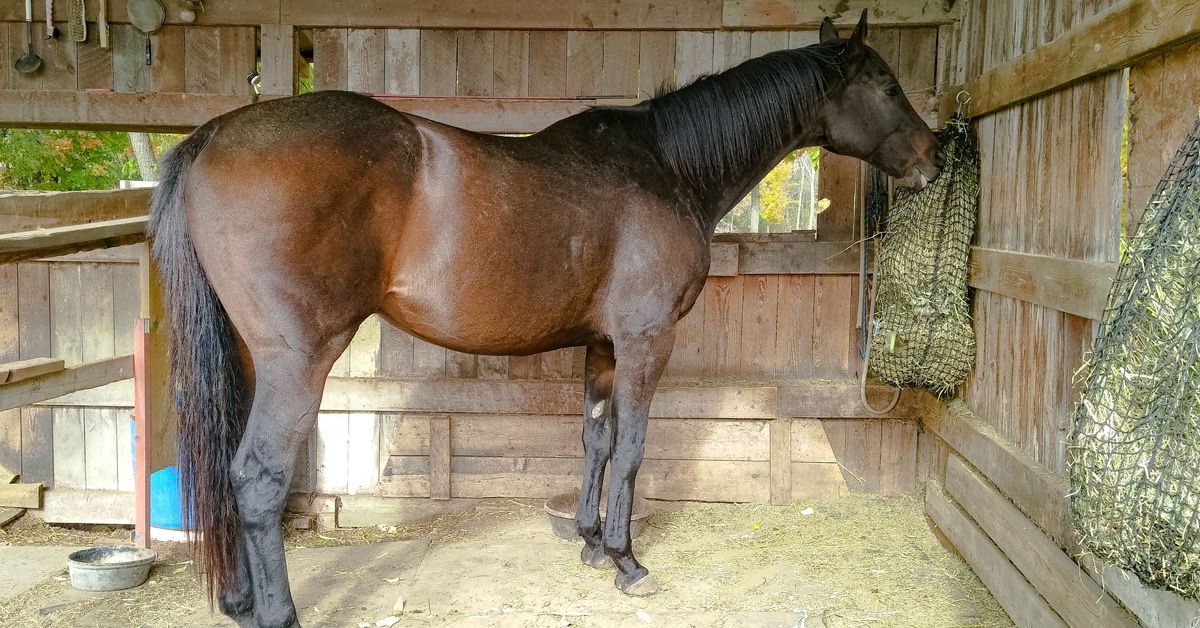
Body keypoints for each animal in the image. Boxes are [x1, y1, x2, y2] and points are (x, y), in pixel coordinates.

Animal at [148, 11, 940, 628]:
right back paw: (277, 612)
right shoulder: (647, 340)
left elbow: (595, 442)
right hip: (298, 357)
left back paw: (240, 601)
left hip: (247, 355)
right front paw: (626, 560)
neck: (667, 165)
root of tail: (211, 135)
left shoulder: (603, 346)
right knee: (256, 477)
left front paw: (589, 541)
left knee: (222, 465)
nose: (934, 155)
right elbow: (632, 448)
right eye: (888, 85)